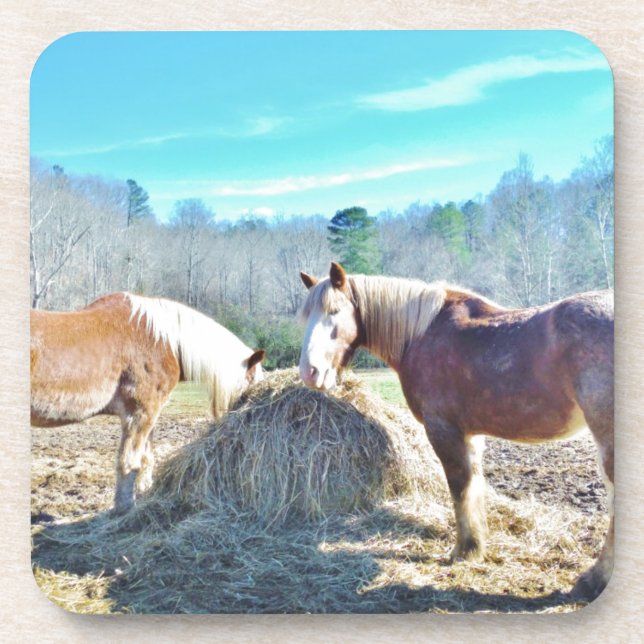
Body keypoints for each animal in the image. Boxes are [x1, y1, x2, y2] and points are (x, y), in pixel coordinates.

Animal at [31, 292, 265, 513]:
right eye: (252, 381)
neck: (164, 341)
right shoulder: (141, 413)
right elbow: (130, 462)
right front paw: (125, 508)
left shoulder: (151, 414)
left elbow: (146, 458)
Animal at [297, 262, 613, 601]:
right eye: (307, 315)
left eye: (334, 311)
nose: (309, 372)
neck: (422, 333)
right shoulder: (470, 435)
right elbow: (474, 484)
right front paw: (476, 544)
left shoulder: (443, 429)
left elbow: (459, 487)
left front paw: (464, 550)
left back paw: (593, 581)